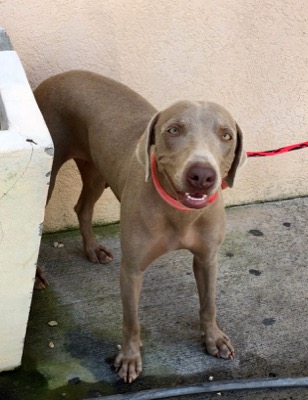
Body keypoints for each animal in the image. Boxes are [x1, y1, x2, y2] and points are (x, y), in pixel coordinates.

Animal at [34, 70, 245, 382]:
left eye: (226, 135)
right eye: (173, 130)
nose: (202, 175)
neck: (179, 213)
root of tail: (57, 76)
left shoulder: (207, 259)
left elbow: (209, 304)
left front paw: (214, 339)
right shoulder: (132, 269)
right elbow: (131, 320)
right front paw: (130, 358)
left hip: (97, 168)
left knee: (83, 208)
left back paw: (93, 249)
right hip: (48, 175)